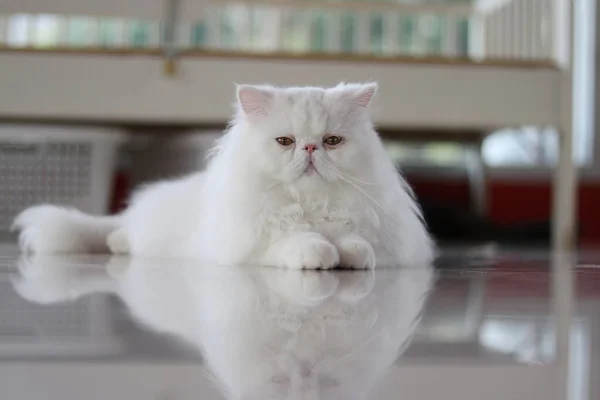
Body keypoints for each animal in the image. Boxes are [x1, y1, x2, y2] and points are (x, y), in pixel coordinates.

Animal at [14, 82, 434, 268]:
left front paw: (350, 255)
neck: (309, 204)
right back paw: (118, 243)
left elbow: (357, 244)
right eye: (285, 141)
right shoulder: (262, 240)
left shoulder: (364, 229)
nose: (310, 149)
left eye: (332, 141)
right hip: (147, 231)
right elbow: (300, 241)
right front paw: (320, 255)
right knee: (121, 235)